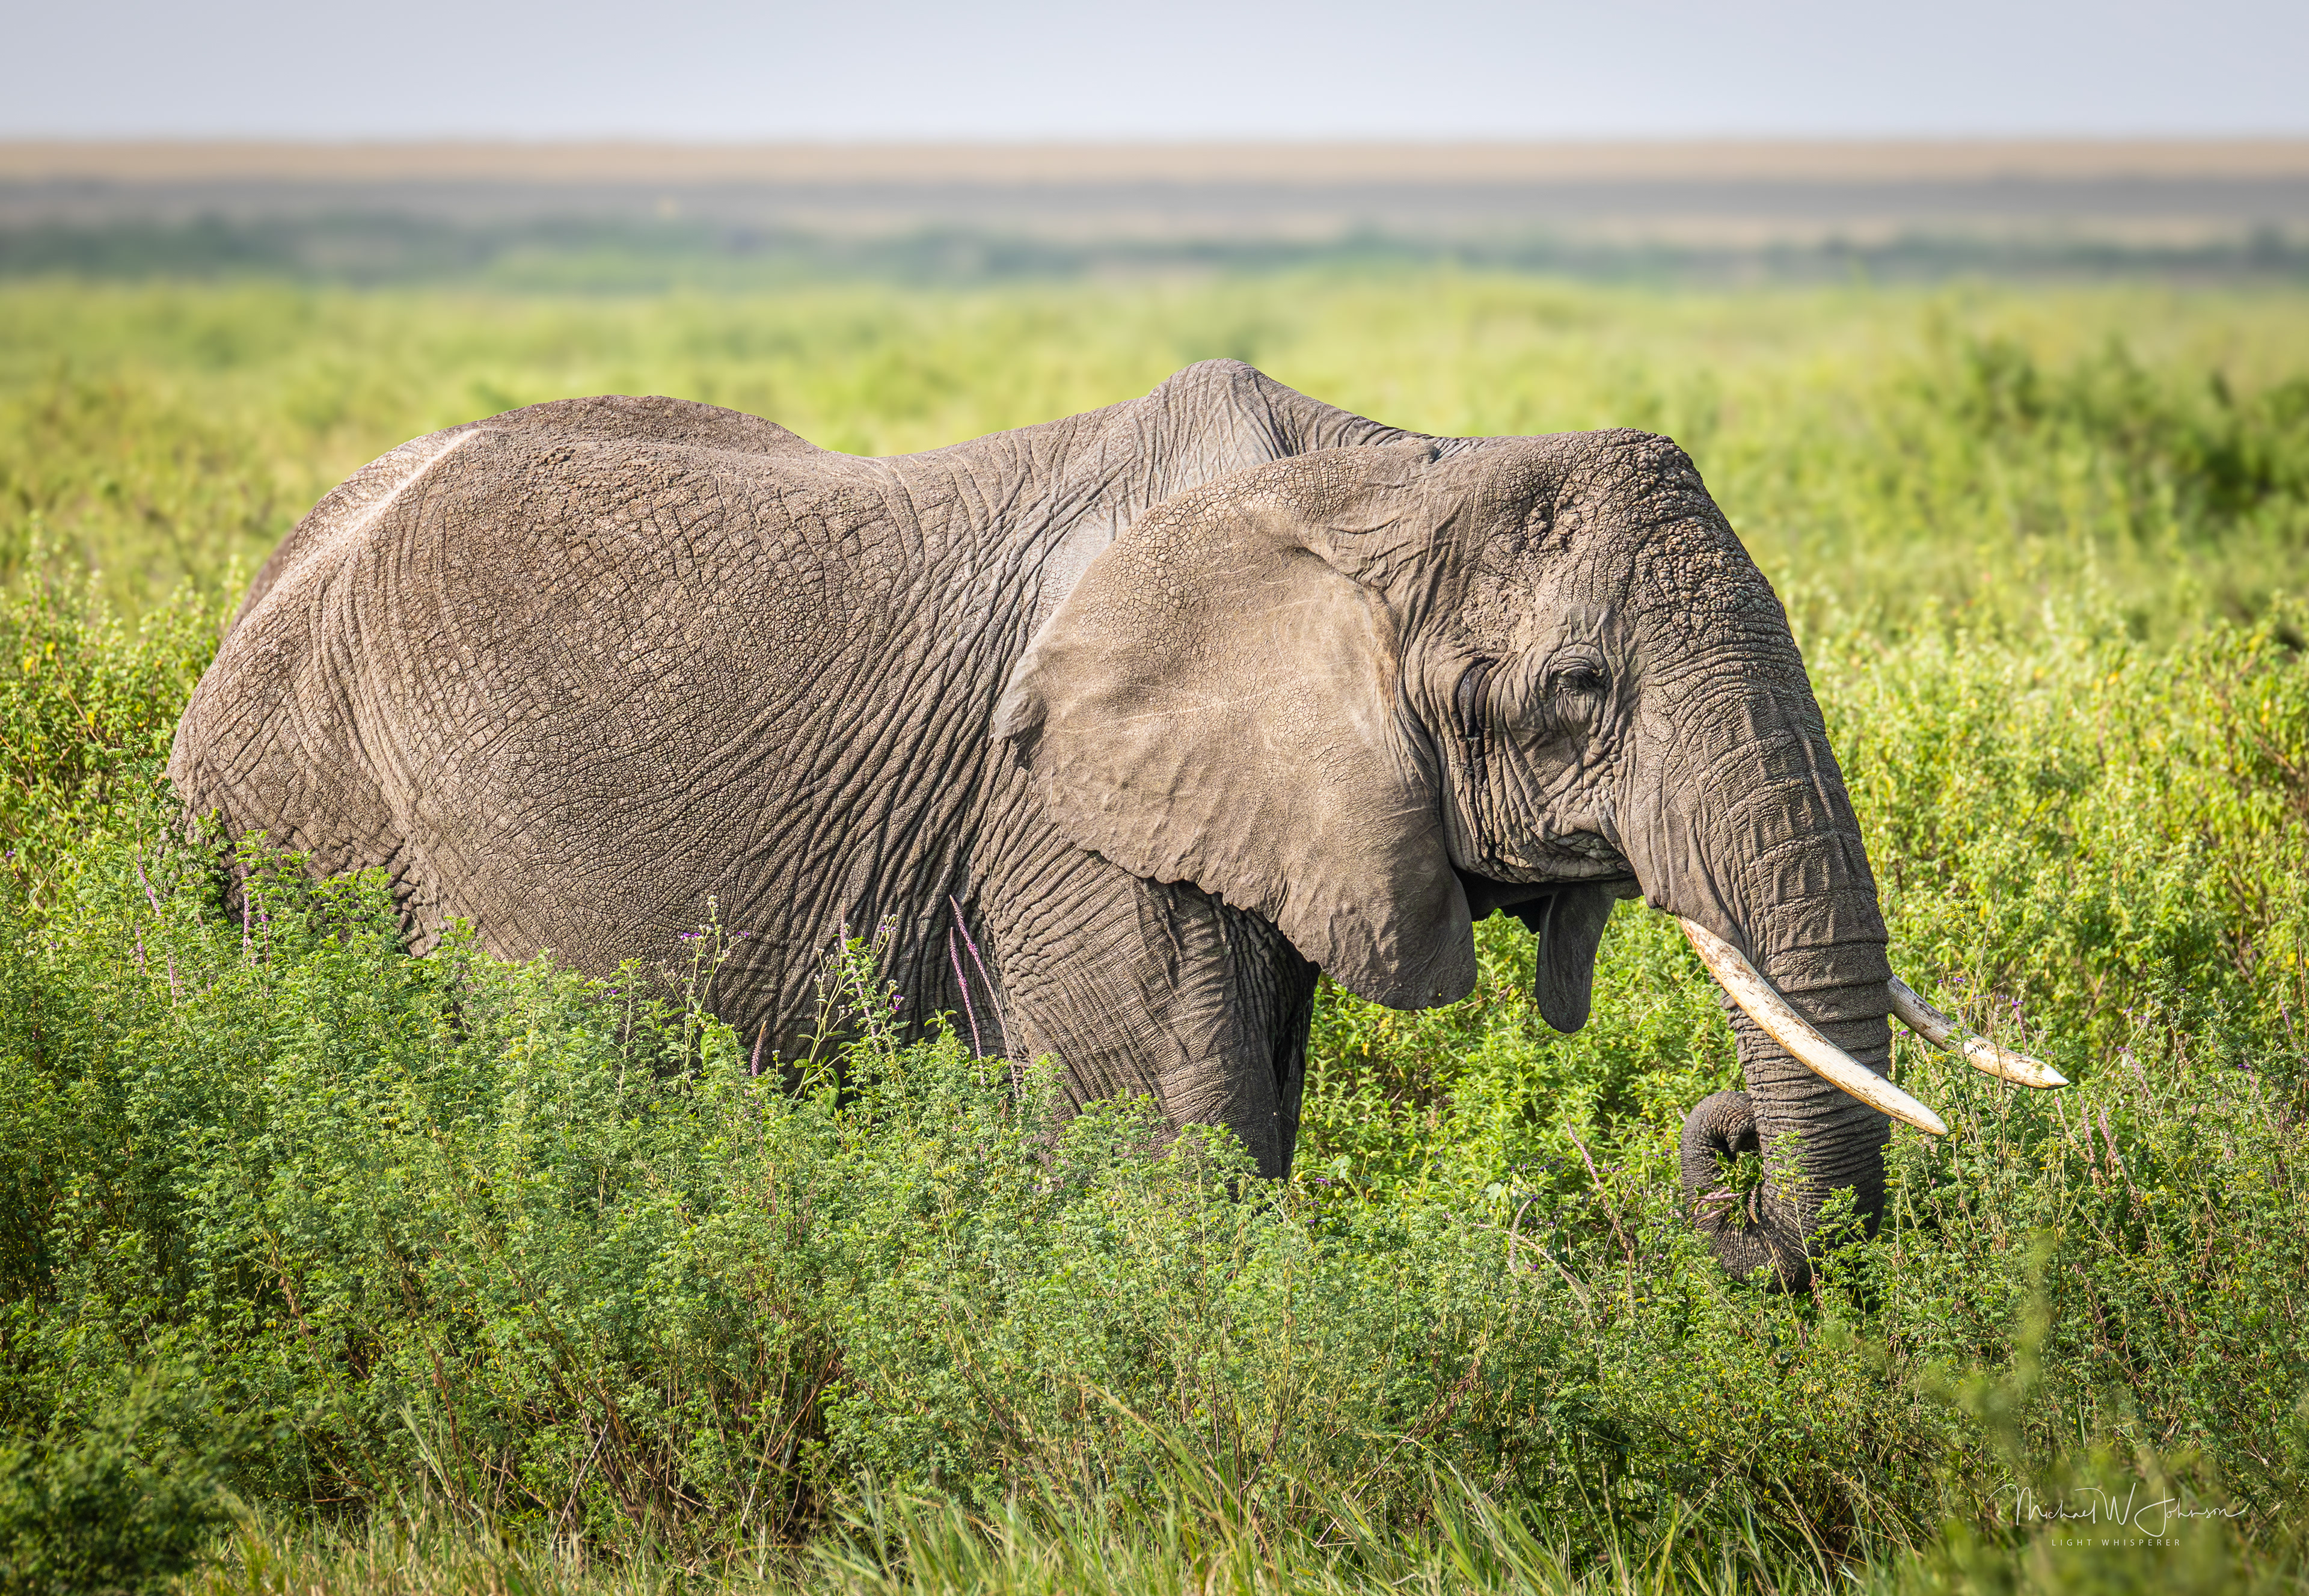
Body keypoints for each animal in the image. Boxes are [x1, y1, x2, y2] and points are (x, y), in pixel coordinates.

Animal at [170, 359, 2060, 1288]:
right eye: (1579, 688)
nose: (1722, 1159)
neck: (1393, 470)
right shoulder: (1056, 813)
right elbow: (1171, 1147)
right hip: (292, 817)